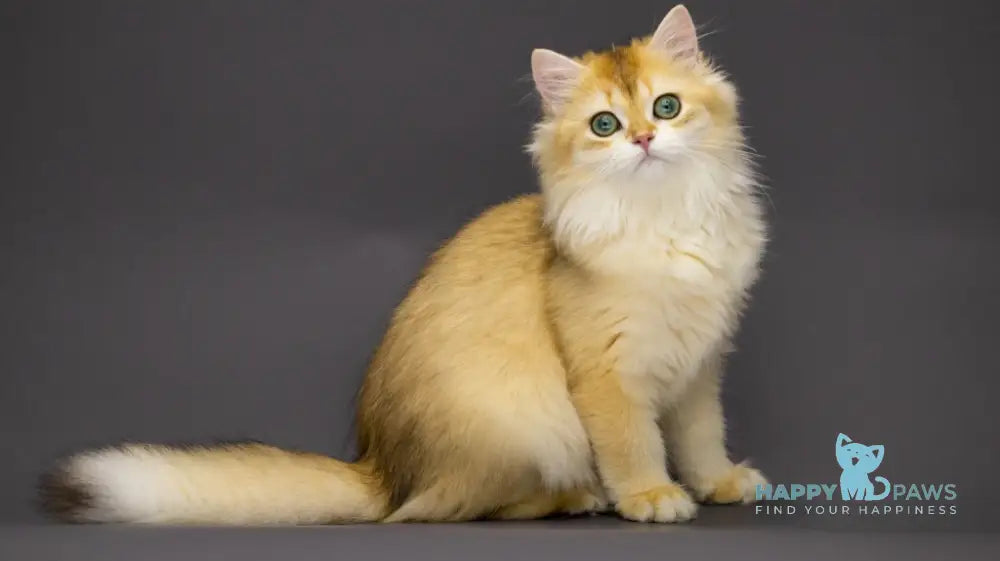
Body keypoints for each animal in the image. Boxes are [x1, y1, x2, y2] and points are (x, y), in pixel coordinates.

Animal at [41, 4, 764, 524]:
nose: (642, 139)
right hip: (527, 422)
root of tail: (382, 472)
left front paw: (718, 481)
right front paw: (650, 495)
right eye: (605, 125)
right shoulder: (606, 376)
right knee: (456, 508)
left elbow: (701, 436)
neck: (664, 221)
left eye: (666, 107)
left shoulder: (701, 366)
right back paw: (574, 498)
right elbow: (634, 445)